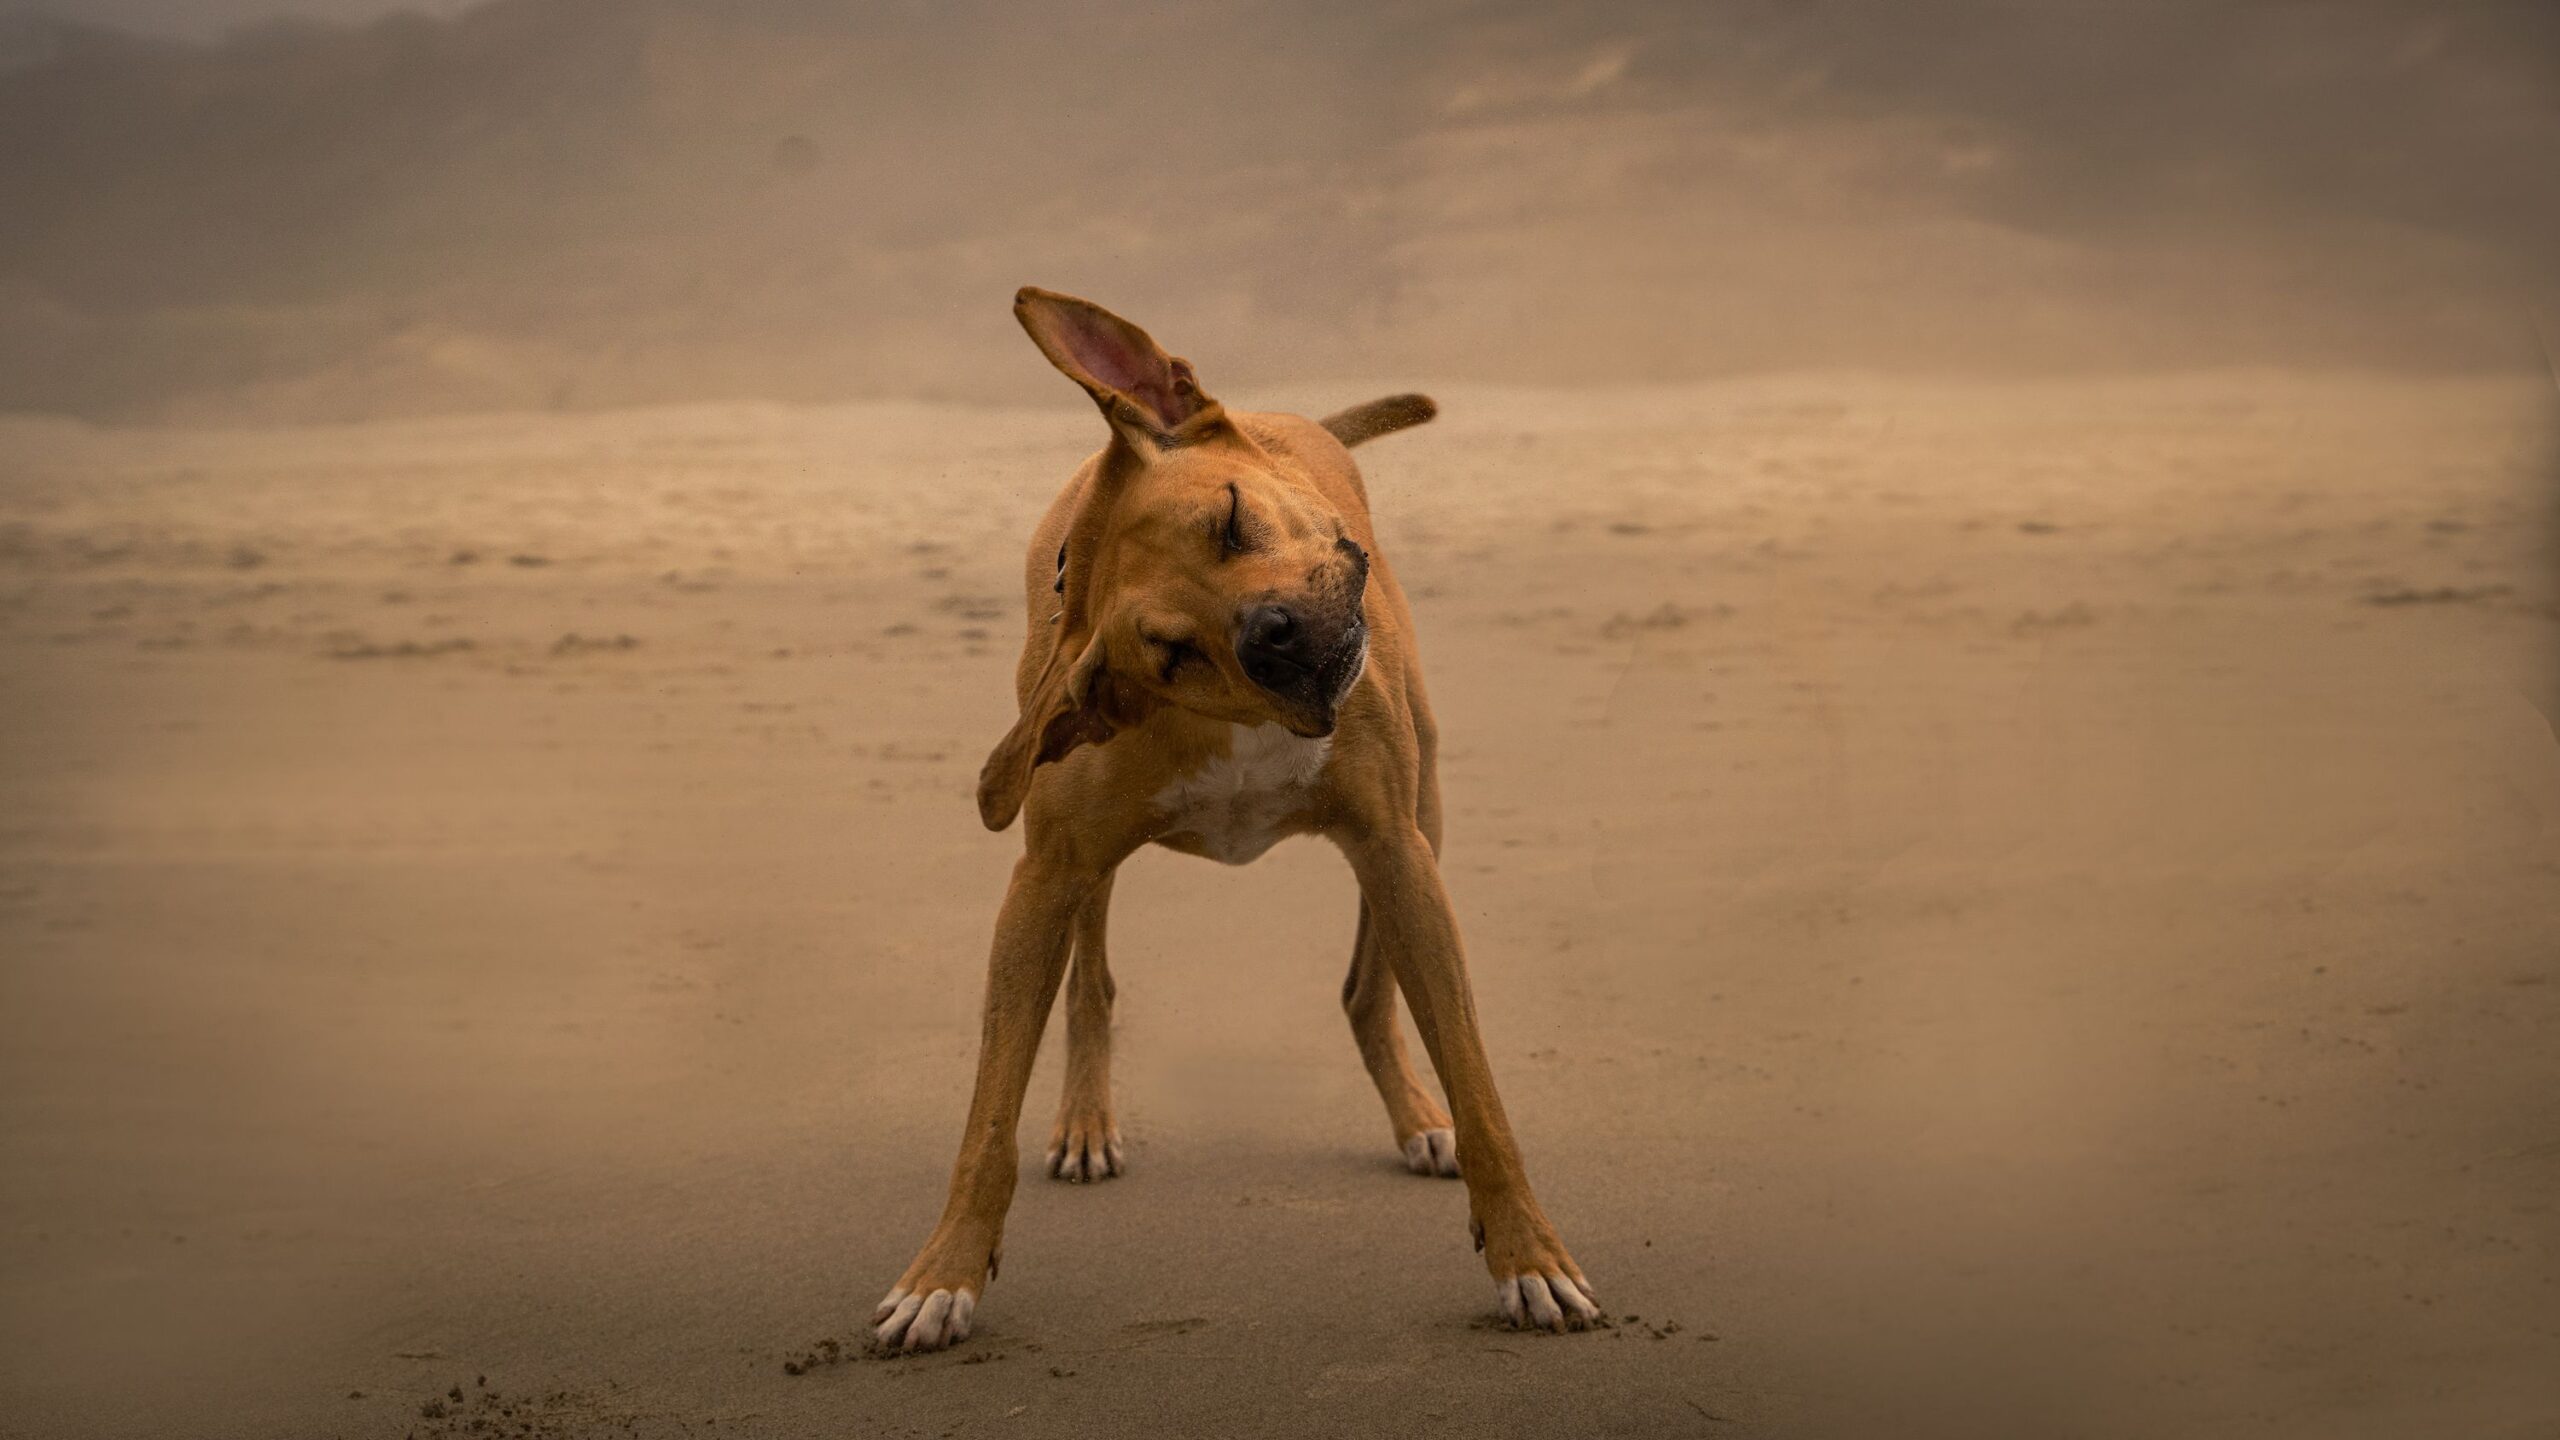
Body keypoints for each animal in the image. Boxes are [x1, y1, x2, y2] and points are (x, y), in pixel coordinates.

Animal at [880, 283, 1597, 1342]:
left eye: (1227, 519)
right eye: (1172, 651)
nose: (1276, 634)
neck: (1241, 722)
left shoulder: (1396, 847)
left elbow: (1479, 1087)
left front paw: (1530, 1257)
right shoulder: (1043, 877)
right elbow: (988, 1115)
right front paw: (943, 1274)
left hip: (1423, 815)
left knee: (1368, 991)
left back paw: (1418, 1116)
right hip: (1083, 872)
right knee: (1093, 985)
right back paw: (1085, 1121)